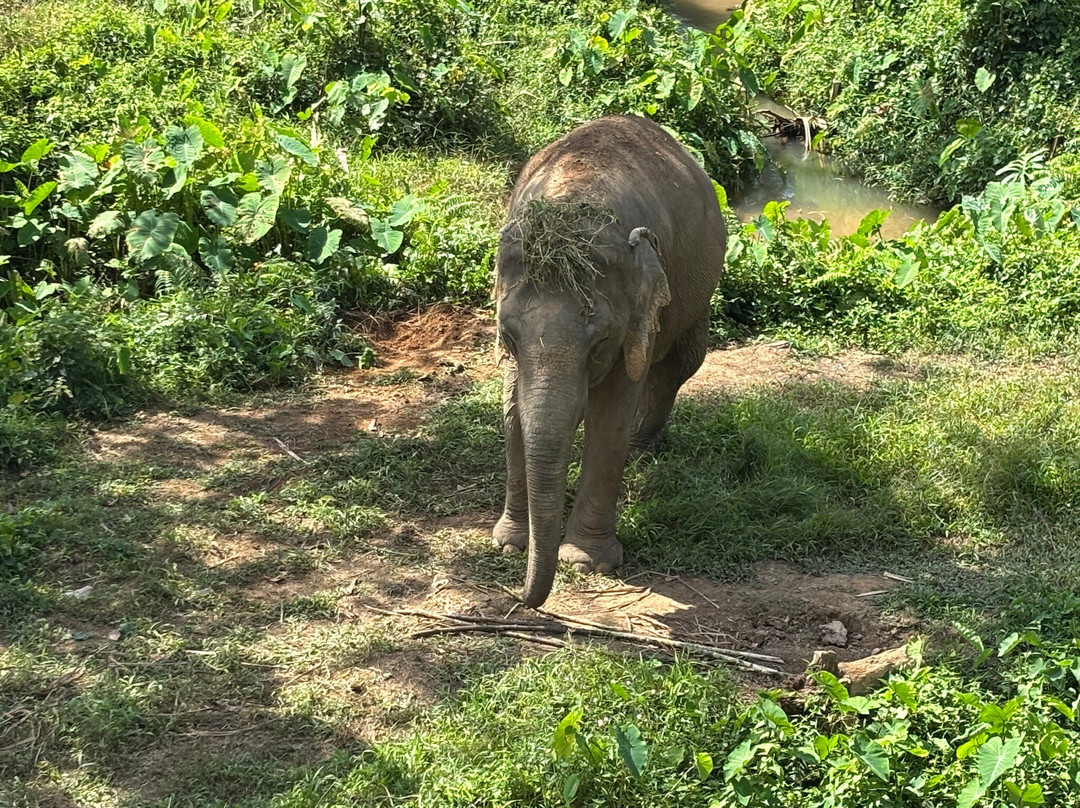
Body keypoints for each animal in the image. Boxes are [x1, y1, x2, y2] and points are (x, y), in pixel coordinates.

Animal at [491, 114, 727, 608]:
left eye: (598, 341)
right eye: (508, 337)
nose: (518, 597)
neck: (574, 196)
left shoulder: (633, 312)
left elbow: (610, 416)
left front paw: (585, 562)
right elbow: (513, 411)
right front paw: (509, 544)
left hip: (698, 289)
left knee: (680, 363)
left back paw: (641, 448)